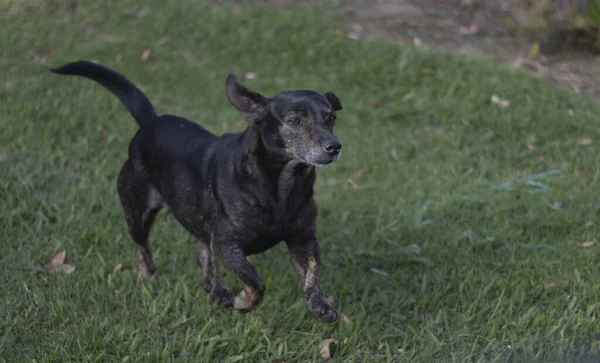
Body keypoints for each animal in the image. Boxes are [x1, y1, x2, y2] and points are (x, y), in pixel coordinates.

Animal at [51, 61, 344, 322]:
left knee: (202, 250)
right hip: (138, 211)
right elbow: (255, 280)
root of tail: (149, 124)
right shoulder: (227, 245)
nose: (334, 146)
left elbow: (312, 273)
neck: (281, 185)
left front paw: (319, 304)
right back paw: (148, 277)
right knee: (142, 245)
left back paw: (215, 289)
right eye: (294, 121)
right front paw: (244, 302)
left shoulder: (303, 239)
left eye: (331, 118)